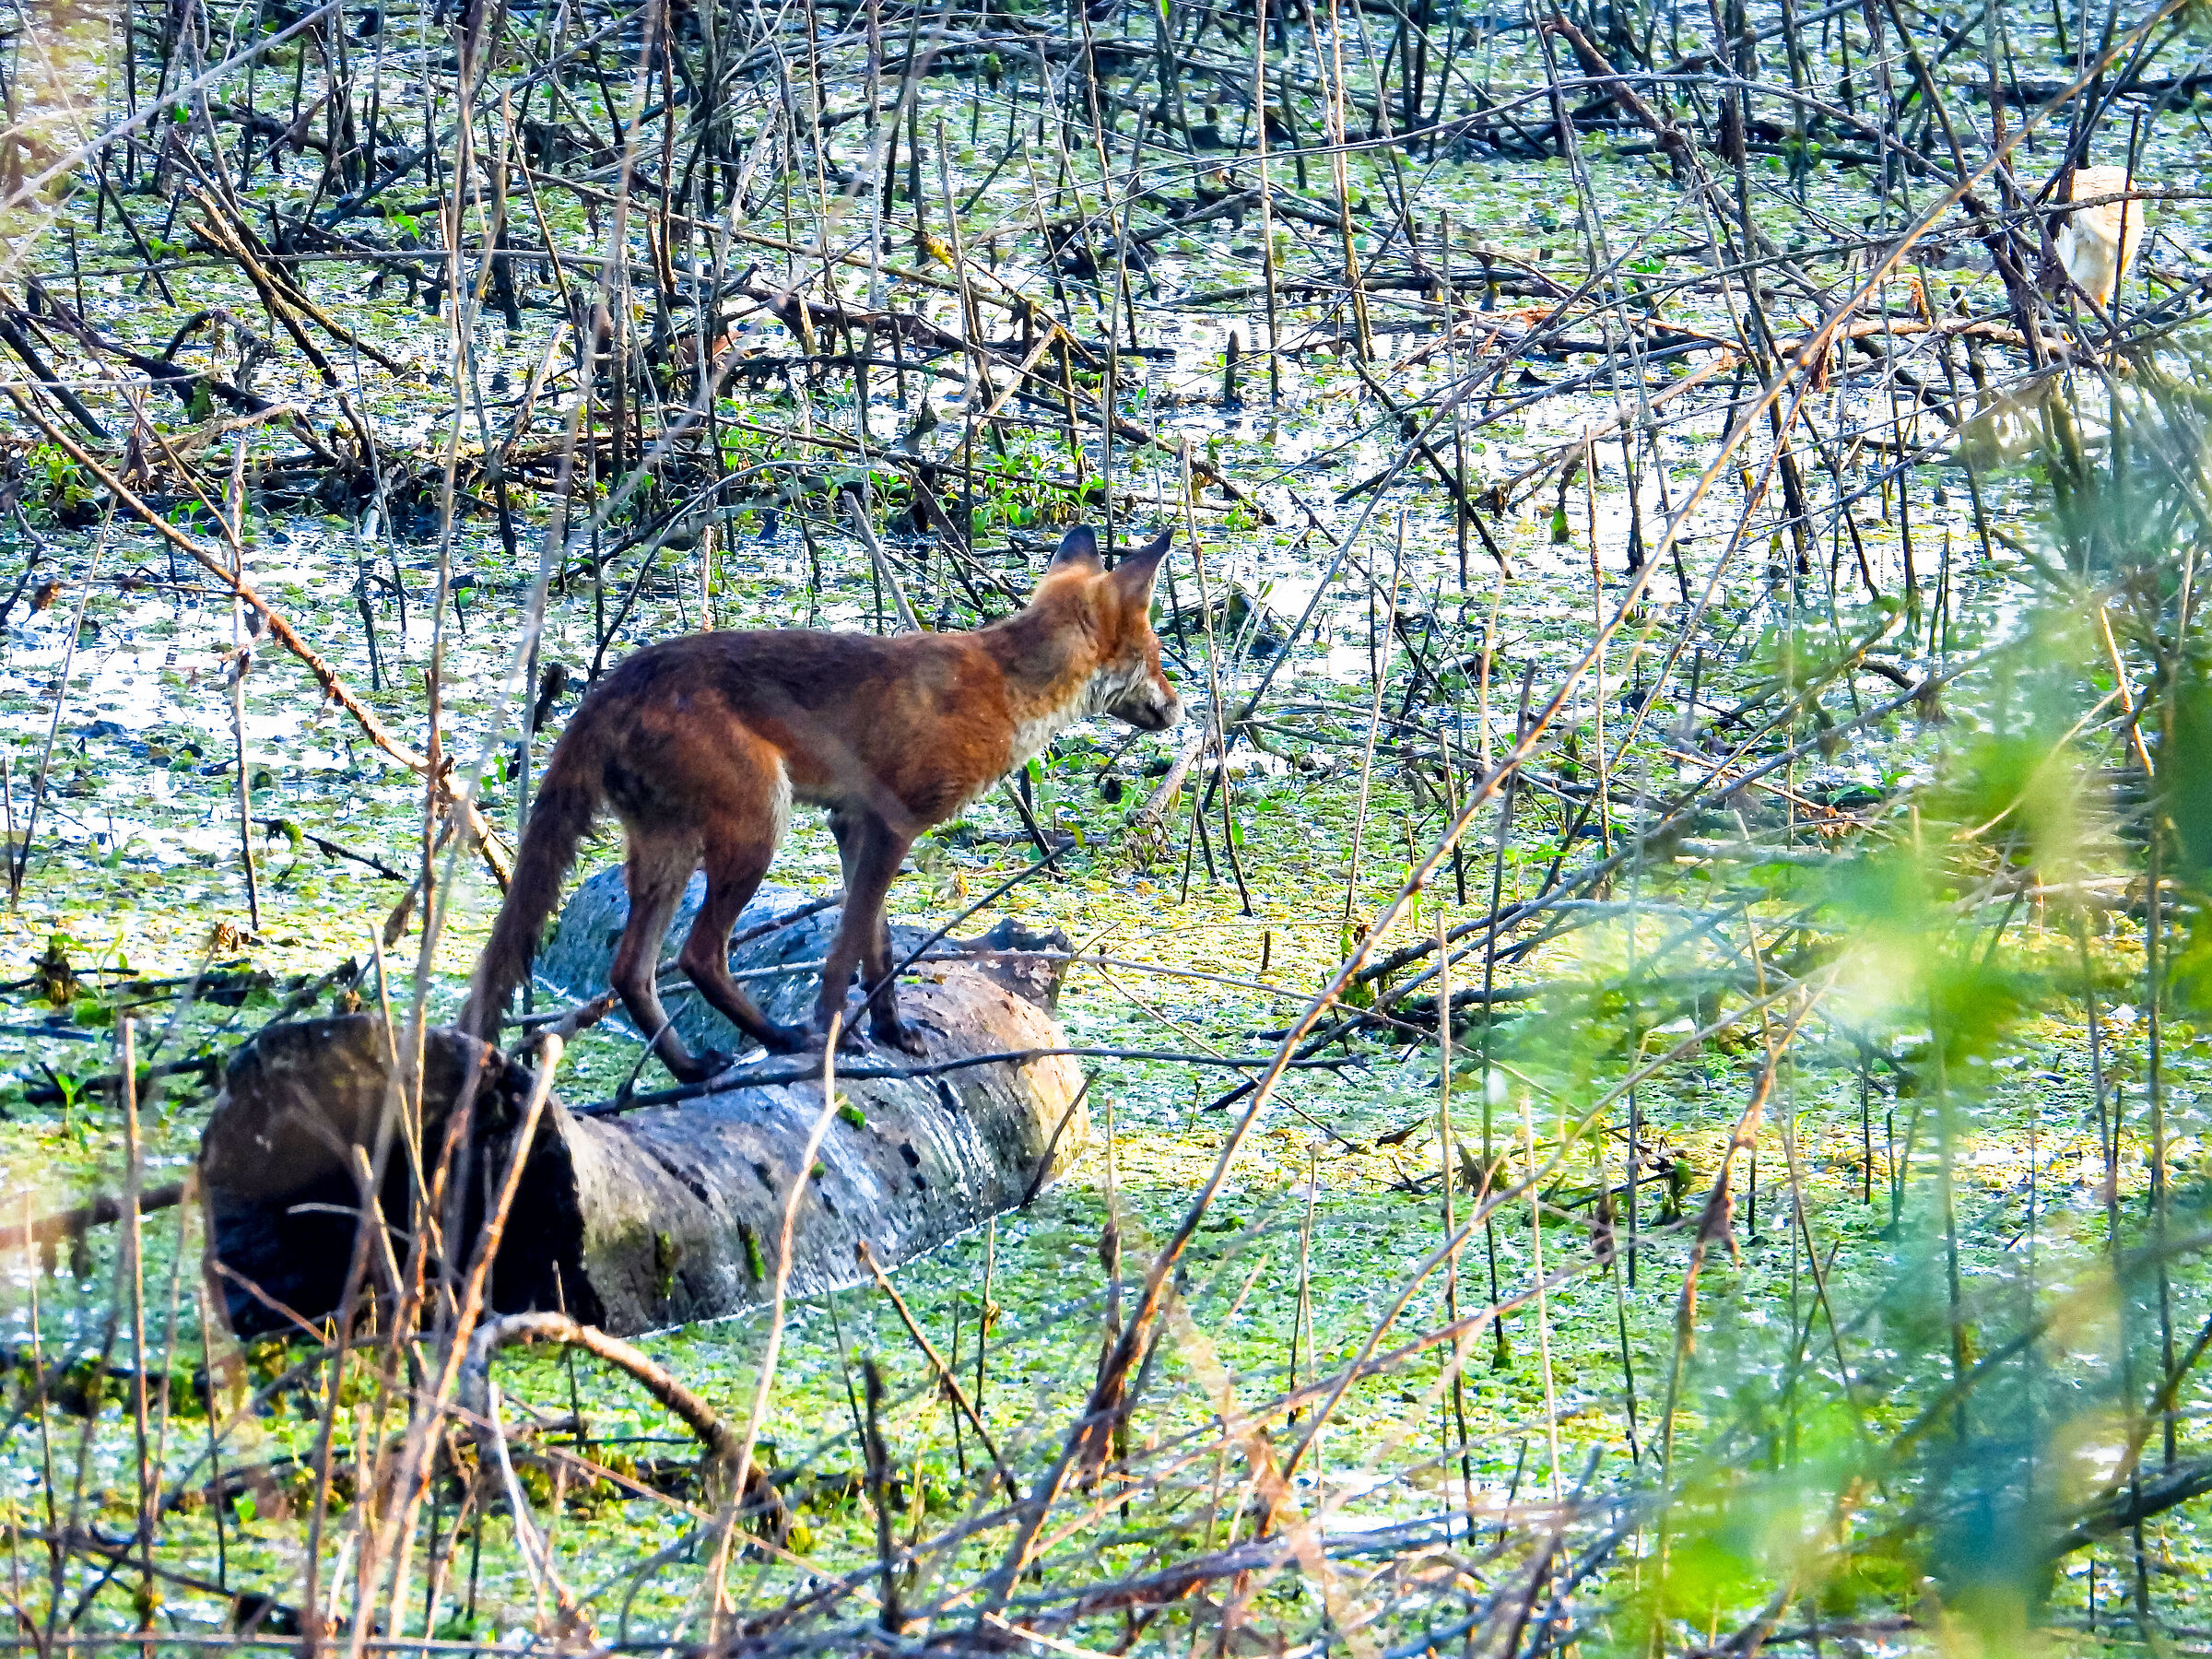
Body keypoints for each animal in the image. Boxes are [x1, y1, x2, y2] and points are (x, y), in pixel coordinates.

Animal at [459, 524, 1182, 1081]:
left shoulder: (853, 824)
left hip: (668, 849)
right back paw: (779, 1039)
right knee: (696, 956)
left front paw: (892, 1033)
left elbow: (878, 949)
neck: (1004, 691)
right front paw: (836, 1033)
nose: (1180, 709)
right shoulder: (892, 823)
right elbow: (845, 953)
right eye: (1156, 656)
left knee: (630, 973)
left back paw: (691, 1068)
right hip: (757, 828)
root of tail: (615, 683)